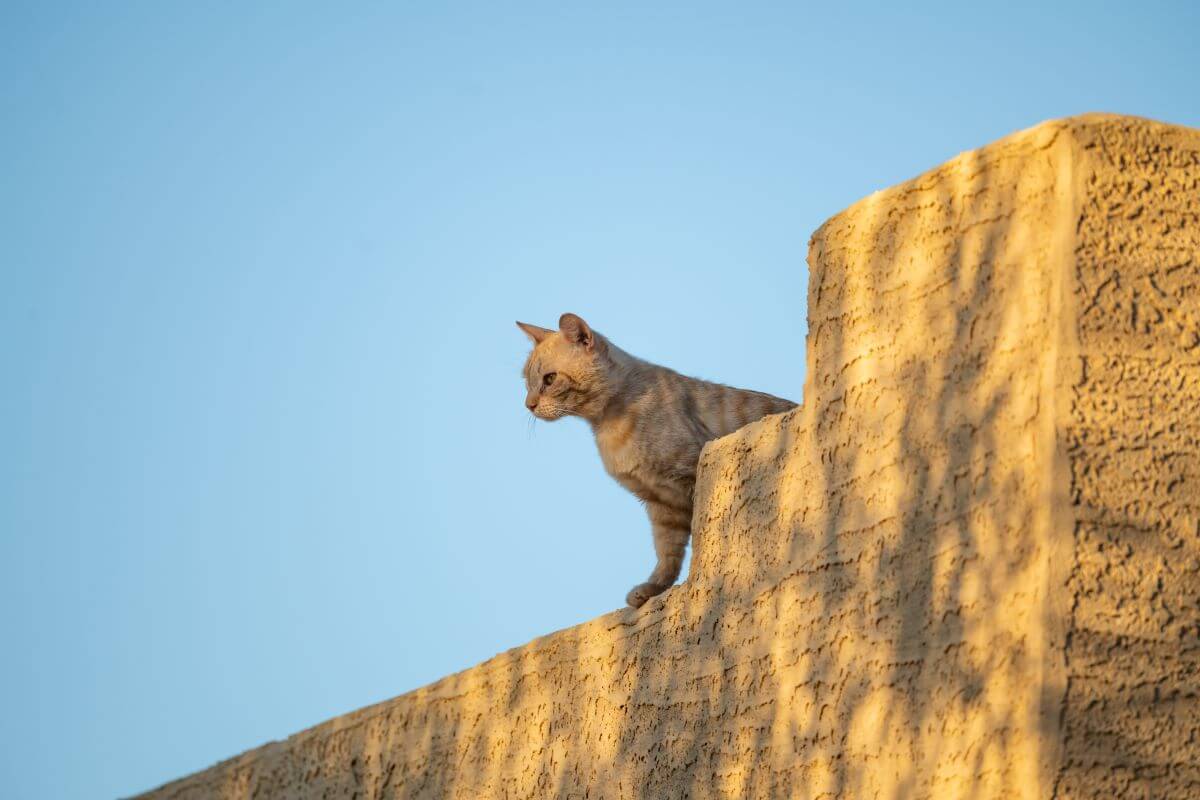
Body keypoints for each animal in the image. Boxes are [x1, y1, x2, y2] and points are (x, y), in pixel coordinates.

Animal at [516, 311, 796, 606]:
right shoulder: (661, 505)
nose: (528, 405)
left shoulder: (691, 476)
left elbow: (699, 534)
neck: (608, 425)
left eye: (549, 379)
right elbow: (667, 554)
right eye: (527, 382)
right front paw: (654, 588)